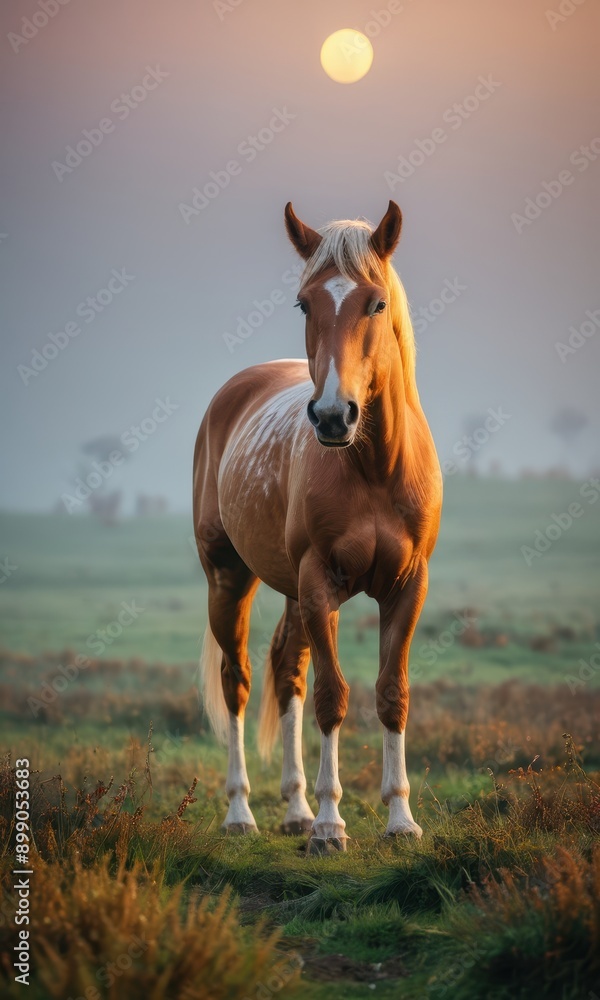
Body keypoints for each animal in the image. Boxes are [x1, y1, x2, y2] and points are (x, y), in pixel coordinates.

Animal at [192, 201, 440, 852]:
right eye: (305, 304)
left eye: (376, 303)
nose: (332, 416)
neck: (373, 465)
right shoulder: (320, 582)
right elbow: (333, 696)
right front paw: (332, 825)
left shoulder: (408, 585)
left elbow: (391, 694)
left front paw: (401, 820)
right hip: (230, 579)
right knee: (238, 680)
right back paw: (242, 812)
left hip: (290, 590)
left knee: (286, 670)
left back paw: (295, 809)